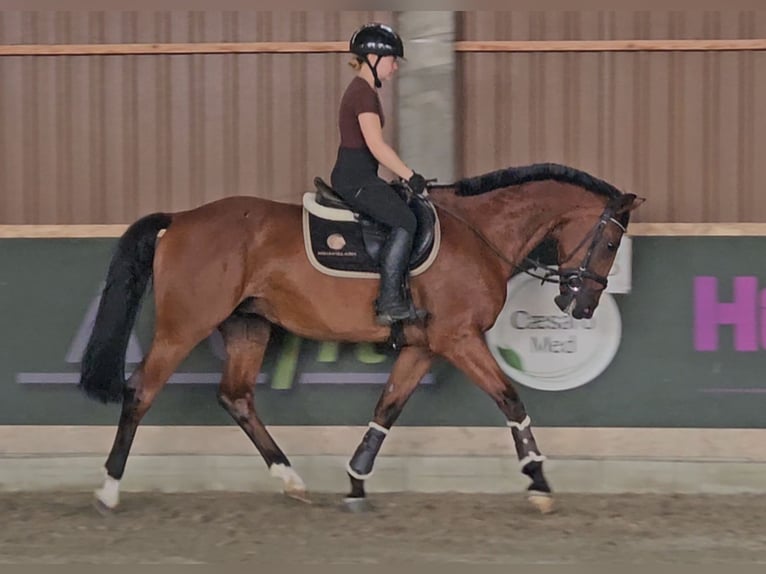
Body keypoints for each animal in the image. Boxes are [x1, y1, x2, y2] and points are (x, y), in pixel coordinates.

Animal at [79, 162, 640, 516]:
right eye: (612, 241)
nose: (580, 307)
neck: (477, 231)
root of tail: (180, 220)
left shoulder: (423, 346)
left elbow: (387, 407)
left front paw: (355, 482)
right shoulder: (458, 338)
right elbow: (510, 399)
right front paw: (538, 482)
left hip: (247, 325)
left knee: (235, 397)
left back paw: (291, 480)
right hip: (184, 326)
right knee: (141, 392)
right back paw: (108, 490)